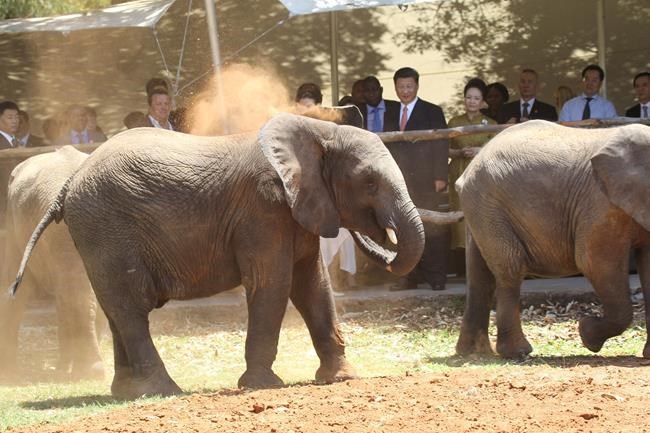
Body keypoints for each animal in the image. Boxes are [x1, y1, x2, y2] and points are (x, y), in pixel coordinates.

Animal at [455, 120, 650, 359]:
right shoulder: (600, 204)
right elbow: (594, 262)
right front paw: (587, 333)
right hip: (489, 205)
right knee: (510, 268)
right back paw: (517, 353)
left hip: (479, 208)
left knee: (479, 274)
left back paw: (473, 353)